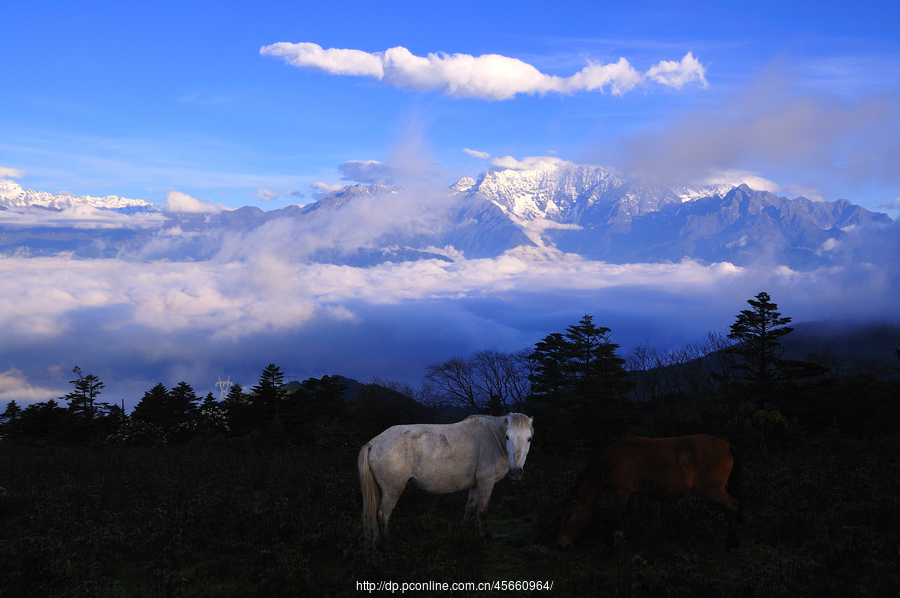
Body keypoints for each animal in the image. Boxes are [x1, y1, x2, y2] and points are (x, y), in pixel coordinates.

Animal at [358, 418, 536, 548]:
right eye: (507, 436)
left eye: (529, 439)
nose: (516, 472)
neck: (493, 438)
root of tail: (374, 442)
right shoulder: (486, 483)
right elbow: (482, 512)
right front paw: (483, 539)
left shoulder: (475, 485)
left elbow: (469, 508)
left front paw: (464, 532)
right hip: (392, 490)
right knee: (382, 514)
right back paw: (389, 544)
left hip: (381, 490)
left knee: (374, 515)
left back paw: (378, 543)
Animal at [560, 436, 740, 552]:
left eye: (568, 515)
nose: (561, 544)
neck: (610, 460)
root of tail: (726, 445)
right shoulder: (629, 494)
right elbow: (629, 516)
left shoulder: (620, 492)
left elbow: (614, 518)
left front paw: (609, 541)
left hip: (713, 489)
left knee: (733, 506)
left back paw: (732, 545)